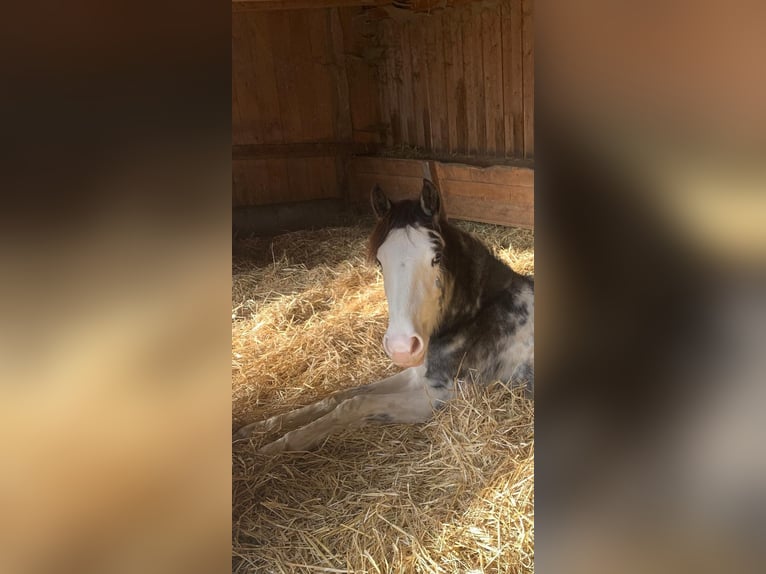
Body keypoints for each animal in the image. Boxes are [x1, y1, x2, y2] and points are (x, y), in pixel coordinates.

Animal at [234, 180, 536, 454]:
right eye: (380, 261)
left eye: (436, 257)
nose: (402, 347)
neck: (477, 317)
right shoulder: (416, 374)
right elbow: (342, 396)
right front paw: (258, 429)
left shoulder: (443, 394)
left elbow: (353, 405)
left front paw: (278, 446)